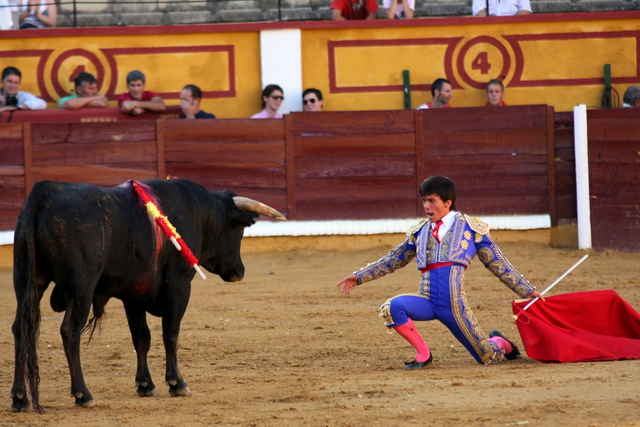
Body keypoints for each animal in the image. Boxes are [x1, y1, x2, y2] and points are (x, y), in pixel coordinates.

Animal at [9, 179, 284, 412]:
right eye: (239, 232)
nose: (240, 271)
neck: (195, 212)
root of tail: (45, 190)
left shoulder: (134, 294)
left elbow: (141, 337)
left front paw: (146, 385)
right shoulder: (179, 285)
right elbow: (170, 333)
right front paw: (177, 383)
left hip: (26, 281)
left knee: (21, 328)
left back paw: (20, 398)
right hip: (81, 288)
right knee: (69, 331)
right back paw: (82, 394)